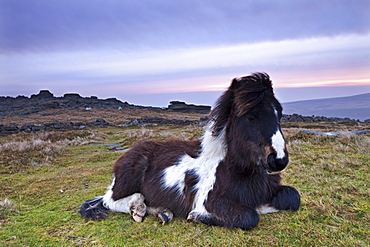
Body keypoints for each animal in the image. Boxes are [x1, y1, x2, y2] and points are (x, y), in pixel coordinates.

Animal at [80, 72, 300, 231]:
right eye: (250, 117)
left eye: (279, 114)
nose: (278, 160)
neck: (237, 170)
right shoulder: (210, 200)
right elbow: (249, 216)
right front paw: (197, 217)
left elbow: (292, 197)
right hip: (126, 181)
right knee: (110, 200)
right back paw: (138, 208)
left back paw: (162, 212)